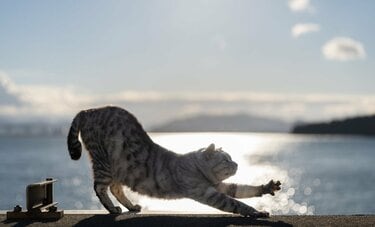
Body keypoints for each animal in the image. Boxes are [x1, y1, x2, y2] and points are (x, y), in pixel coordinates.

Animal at [67, 106, 282, 218]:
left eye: (232, 159)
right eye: (226, 160)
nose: (237, 164)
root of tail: (88, 110)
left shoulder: (218, 186)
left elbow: (242, 189)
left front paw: (267, 186)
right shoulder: (207, 192)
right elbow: (236, 203)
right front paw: (256, 212)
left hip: (118, 167)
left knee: (116, 188)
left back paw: (131, 206)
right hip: (103, 162)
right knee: (100, 187)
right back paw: (112, 209)